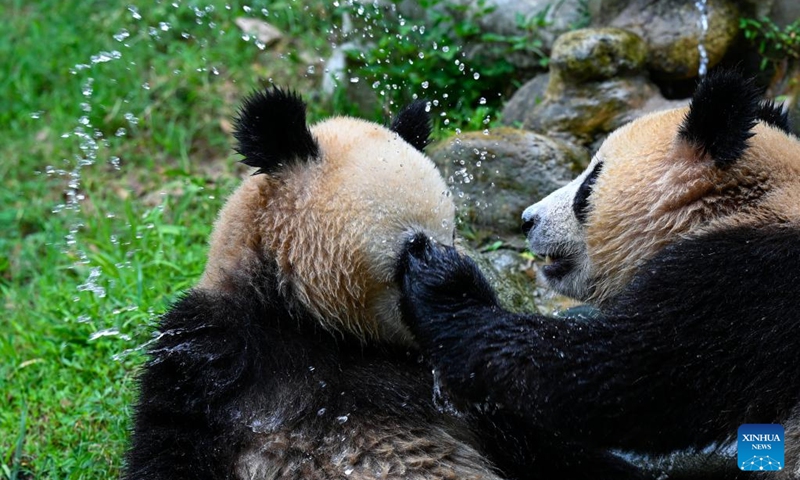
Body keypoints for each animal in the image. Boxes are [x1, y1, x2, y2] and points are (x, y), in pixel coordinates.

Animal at [398, 69, 800, 479]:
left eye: (588, 185)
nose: (527, 220)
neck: (741, 202)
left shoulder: (752, 280)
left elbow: (618, 376)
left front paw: (442, 283)